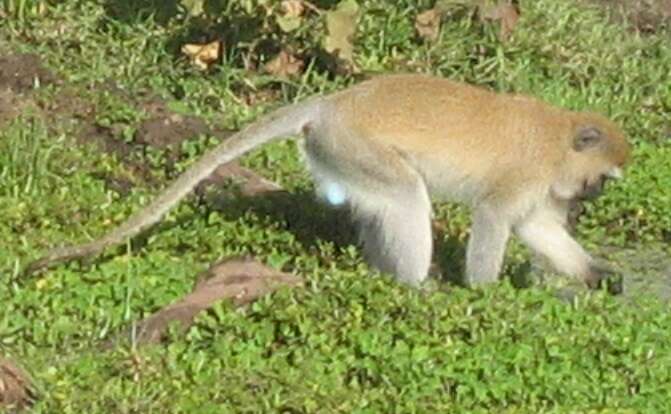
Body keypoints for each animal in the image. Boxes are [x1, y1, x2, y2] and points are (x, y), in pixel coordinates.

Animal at [26, 76, 632, 292]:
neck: (555, 139)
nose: (593, 196)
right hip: (353, 144)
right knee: (406, 195)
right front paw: (484, 296)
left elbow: (538, 230)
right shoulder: (524, 175)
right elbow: (494, 220)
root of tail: (332, 103)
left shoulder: (541, 188)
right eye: (602, 179)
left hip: (339, 156)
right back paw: (416, 288)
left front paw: (598, 275)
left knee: (384, 204)